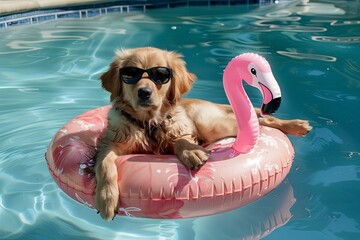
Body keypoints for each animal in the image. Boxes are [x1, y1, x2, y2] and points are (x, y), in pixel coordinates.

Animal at [95, 46, 312, 220]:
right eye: (130, 75)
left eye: (161, 75)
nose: (144, 92)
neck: (148, 123)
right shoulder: (110, 143)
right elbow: (105, 164)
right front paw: (106, 199)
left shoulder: (181, 128)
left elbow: (180, 140)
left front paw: (191, 151)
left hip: (210, 123)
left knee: (262, 120)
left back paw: (297, 125)